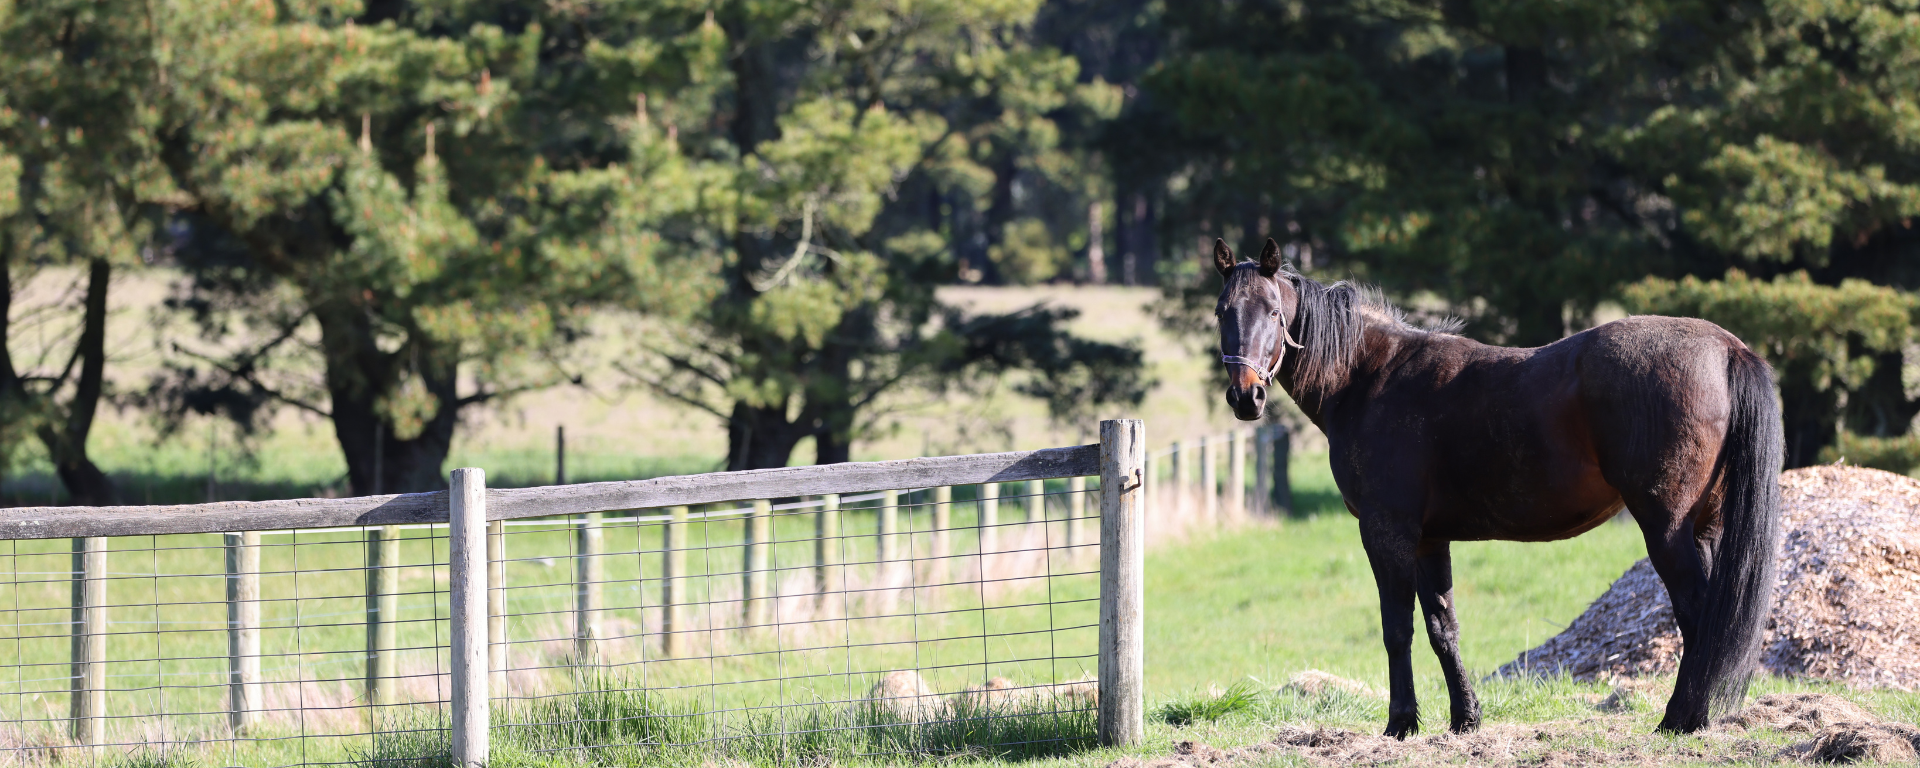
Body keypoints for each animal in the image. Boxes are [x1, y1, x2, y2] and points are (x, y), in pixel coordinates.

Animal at [1211, 238, 1782, 737]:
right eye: (1222, 311)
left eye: (1274, 313)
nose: (1245, 396)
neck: (1370, 378)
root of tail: (1728, 348)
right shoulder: (1428, 539)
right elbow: (1443, 629)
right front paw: (1465, 719)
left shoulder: (1386, 531)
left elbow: (1397, 629)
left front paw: (1401, 723)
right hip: (1703, 529)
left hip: (1666, 529)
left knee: (1698, 614)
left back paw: (1680, 719)